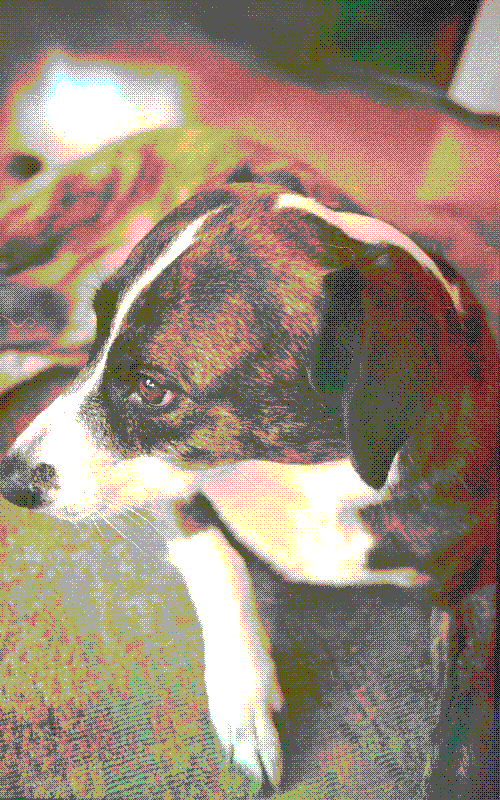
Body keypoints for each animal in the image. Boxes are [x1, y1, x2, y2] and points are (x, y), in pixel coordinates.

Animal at [0, 156, 498, 792]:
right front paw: (245, 701)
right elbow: (222, 561)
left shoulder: (480, 588)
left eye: (152, 388)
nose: (11, 480)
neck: (308, 473)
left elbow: (468, 731)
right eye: (99, 335)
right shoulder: (173, 483)